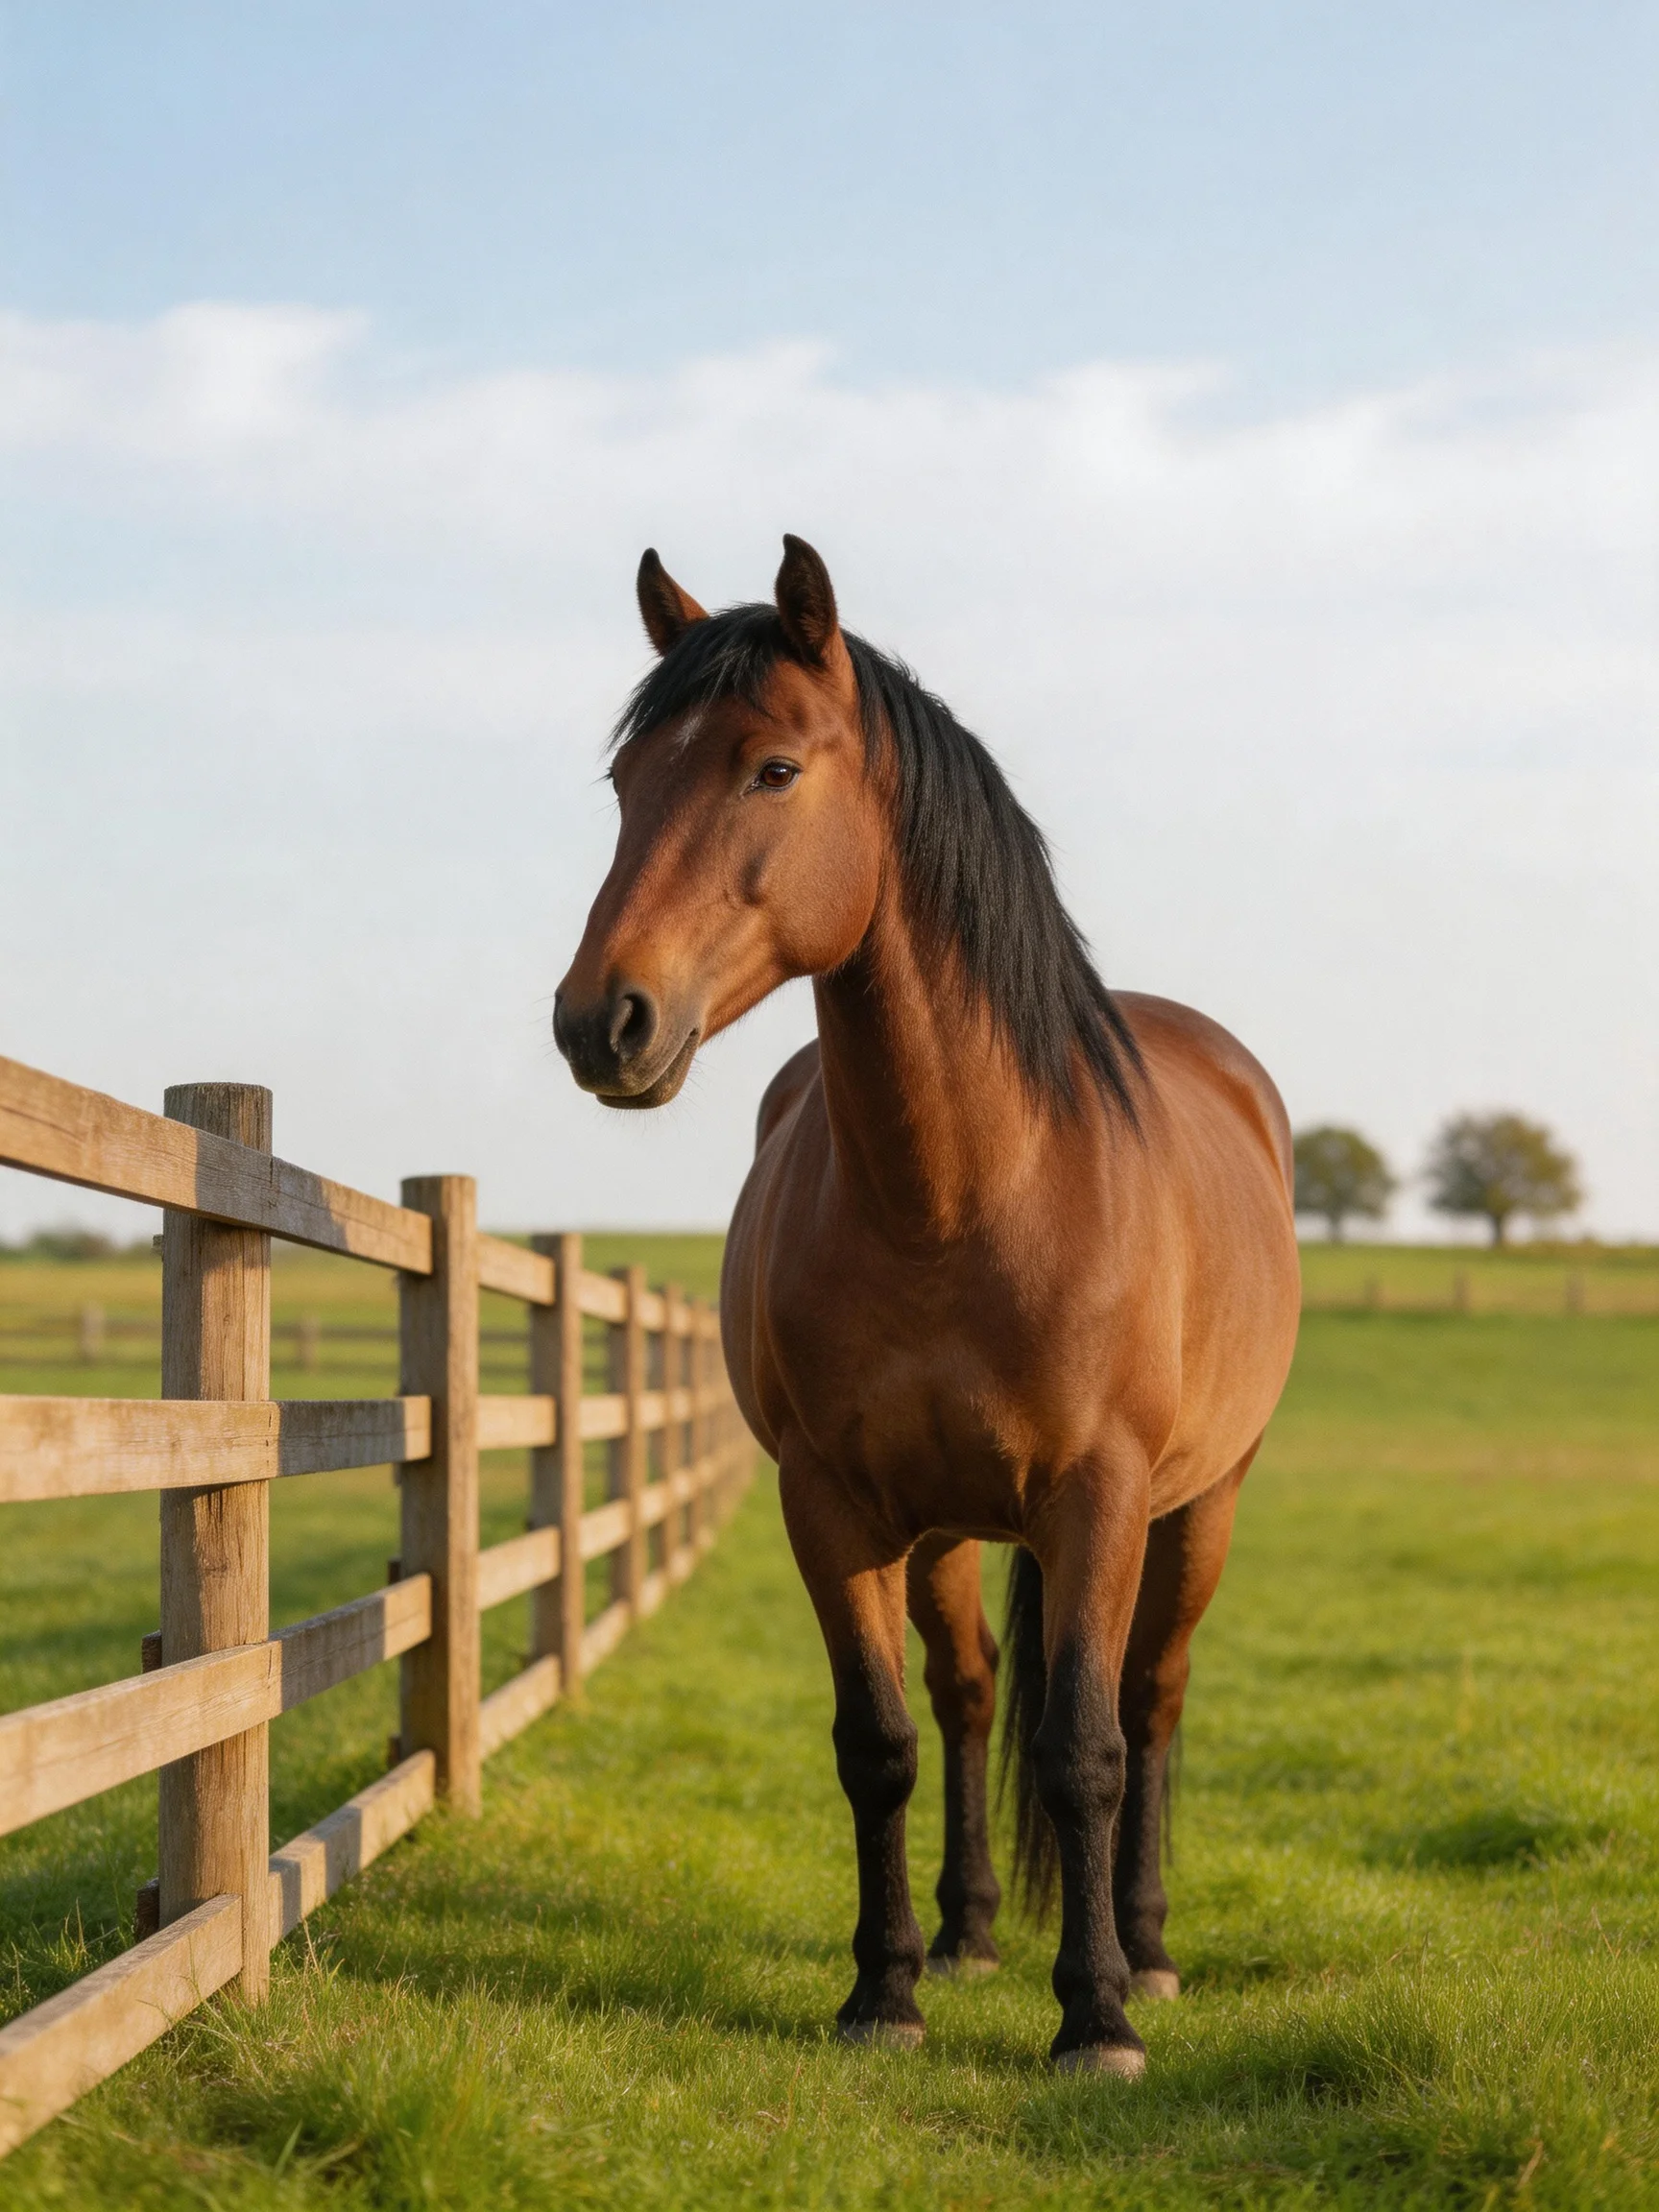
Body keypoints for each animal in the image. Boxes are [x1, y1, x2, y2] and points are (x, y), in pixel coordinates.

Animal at [554, 536, 1301, 2076]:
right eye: (625, 782)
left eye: (773, 769)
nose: (604, 1021)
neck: (965, 1193)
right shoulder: (833, 1506)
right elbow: (881, 1742)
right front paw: (884, 1991)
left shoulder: (1098, 1498)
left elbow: (1086, 1746)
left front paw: (1095, 2016)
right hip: (950, 1527)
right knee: (967, 1694)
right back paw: (965, 1938)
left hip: (1203, 1502)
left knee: (1153, 1699)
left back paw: (1148, 1950)